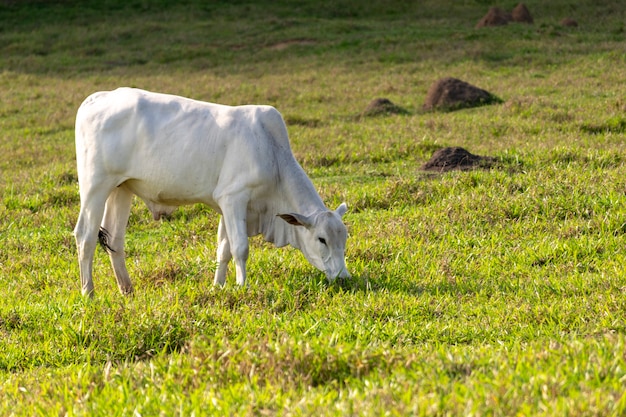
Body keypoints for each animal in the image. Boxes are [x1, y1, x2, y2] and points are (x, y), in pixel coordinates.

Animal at [73, 88, 348, 296]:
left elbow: (223, 249)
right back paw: (88, 293)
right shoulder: (234, 198)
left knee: (115, 239)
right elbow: (240, 247)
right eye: (322, 239)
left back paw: (127, 290)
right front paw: (242, 286)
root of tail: (98, 97)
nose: (343, 277)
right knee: (85, 236)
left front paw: (218, 286)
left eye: (344, 238)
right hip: (96, 186)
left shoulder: (227, 205)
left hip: (122, 188)